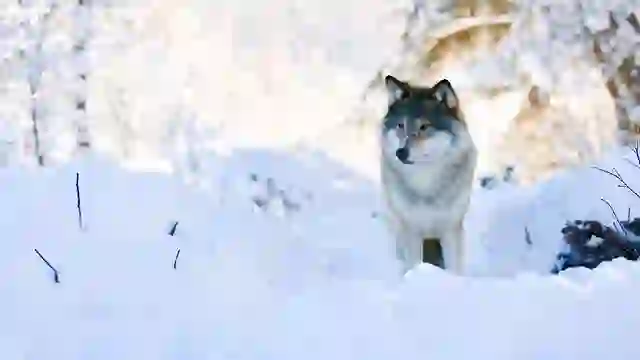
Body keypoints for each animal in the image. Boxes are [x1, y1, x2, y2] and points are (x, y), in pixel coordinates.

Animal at [378, 74, 478, 274]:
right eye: (401, 125)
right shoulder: (412, 229)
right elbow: (414, 263)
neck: (426, 183)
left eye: (424, 127)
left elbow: (453, 268)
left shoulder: (450, 230)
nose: (401, 152)